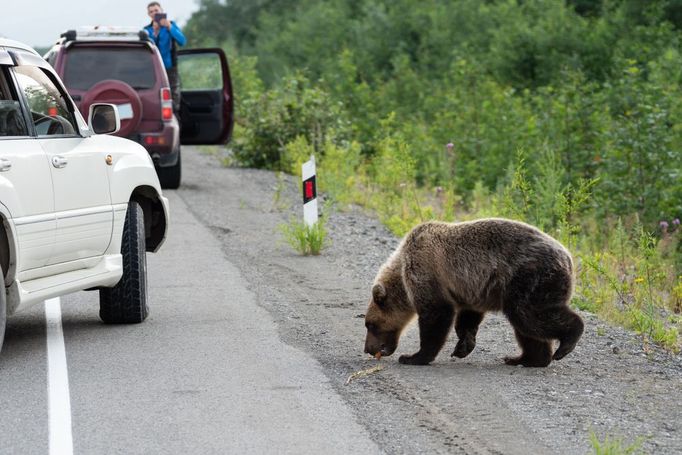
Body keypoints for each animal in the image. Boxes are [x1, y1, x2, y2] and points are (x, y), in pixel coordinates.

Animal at [364, 218, 580, 366]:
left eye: (370, 325)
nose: (368, 349)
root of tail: (569, 259)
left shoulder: (426, 270)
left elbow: (436, 313)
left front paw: (413, 356)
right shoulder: (471, 288)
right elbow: (468, 317)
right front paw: (463, 346)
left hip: (529, 279)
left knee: (530, 317)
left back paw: (566, 343)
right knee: (528, 328)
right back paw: (523, 359)